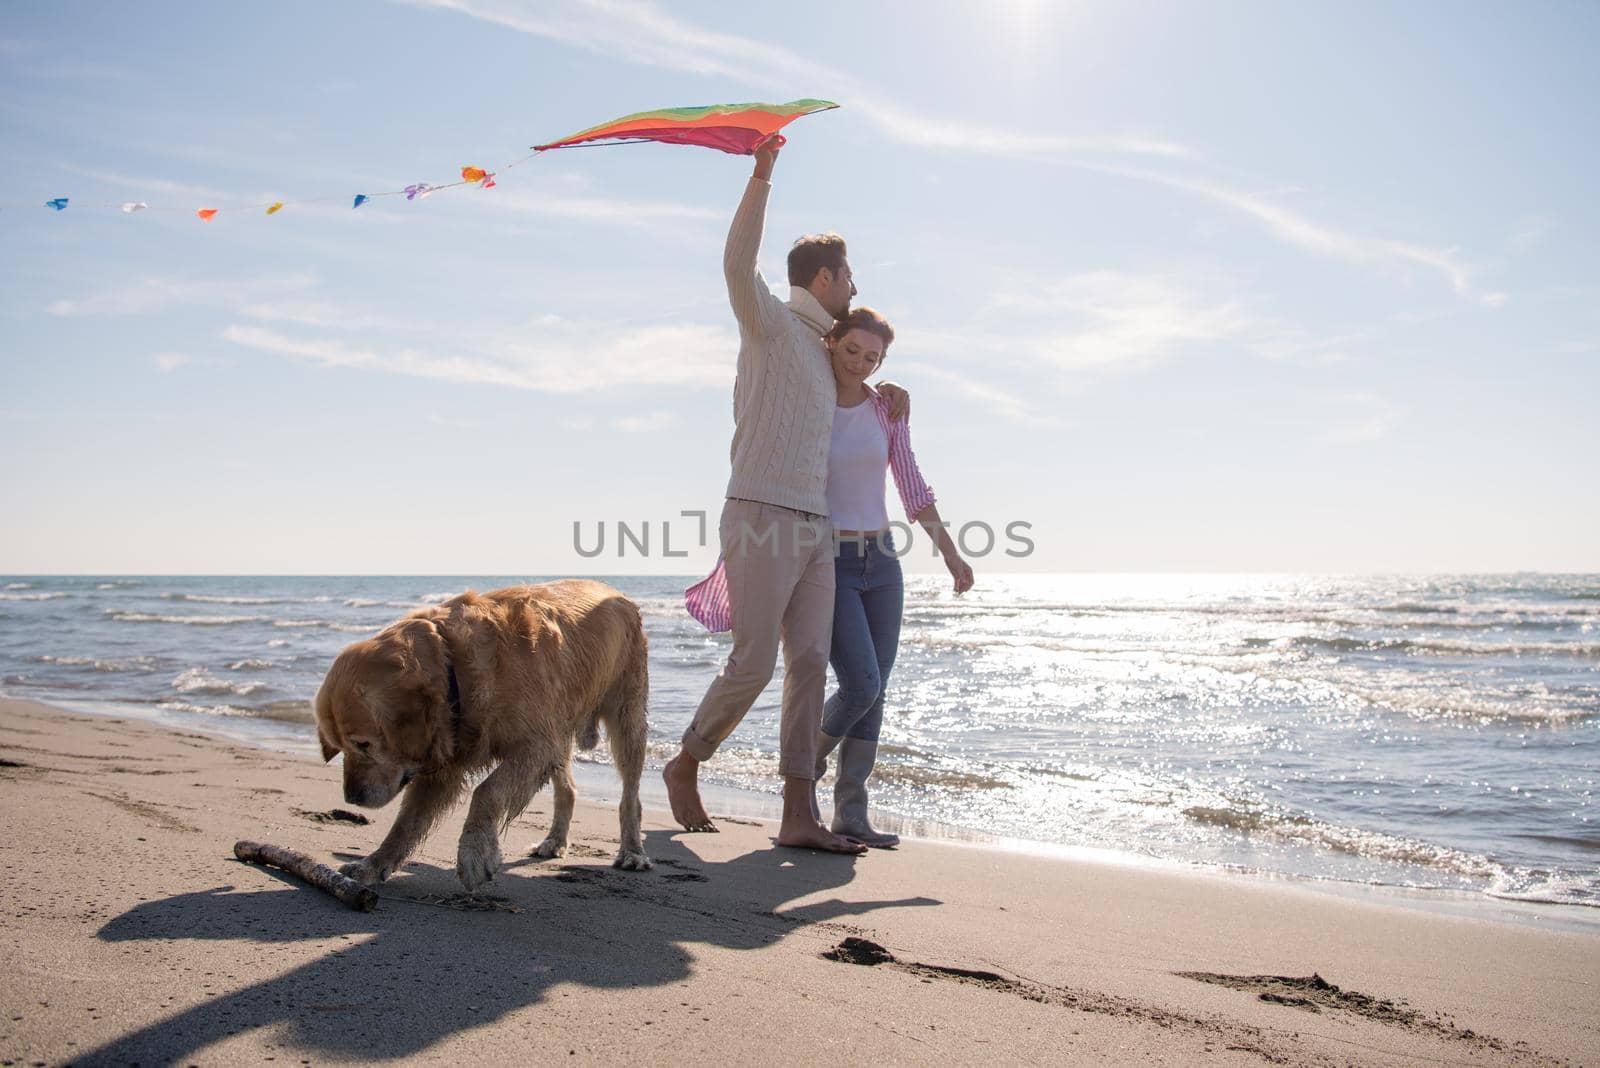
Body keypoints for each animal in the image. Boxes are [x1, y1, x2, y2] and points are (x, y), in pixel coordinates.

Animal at [312, 578, 649, 888]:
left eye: (364, 744)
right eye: (340, 746)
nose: (352, 797)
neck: (455, 665)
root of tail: (614, 591)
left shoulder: (536, 746)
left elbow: (487, 791)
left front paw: (474, 854)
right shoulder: (448, 759)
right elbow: (406, 823)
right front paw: (373, 864)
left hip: (627, 717)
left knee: (630, 795)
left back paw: (632, 852)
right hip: (562, 725)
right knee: (567, 788)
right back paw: (554, 841)